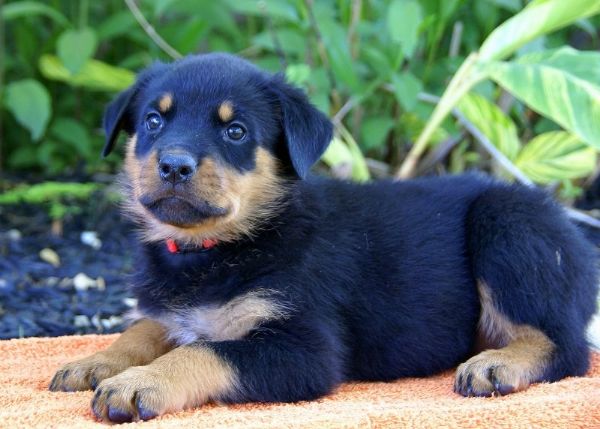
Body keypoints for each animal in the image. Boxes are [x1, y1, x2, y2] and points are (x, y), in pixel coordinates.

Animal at [48, 52, 600, 422]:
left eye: (235, 131)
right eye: (153, 120)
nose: (174, 165)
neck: (218, 249)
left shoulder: (305, 349)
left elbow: (203, 351)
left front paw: (138, 383)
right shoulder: (174, 312)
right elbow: (142, 330)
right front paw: (96, 362)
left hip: (507, 223)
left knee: (565, 346)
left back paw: (496, 364)